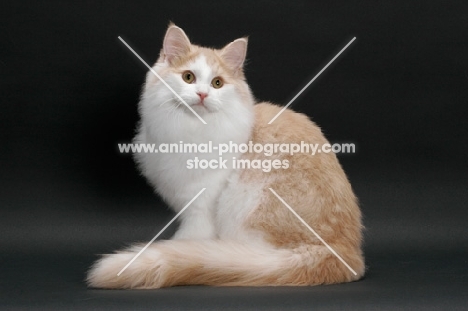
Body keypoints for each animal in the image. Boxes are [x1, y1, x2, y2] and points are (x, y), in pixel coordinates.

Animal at [88, 24, 366, 290]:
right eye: (188, 77)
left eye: (217, 83)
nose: (202, 94)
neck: (193, 130)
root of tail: (343, 253)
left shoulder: (201, 203)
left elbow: (193, 234)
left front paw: (182, 245)